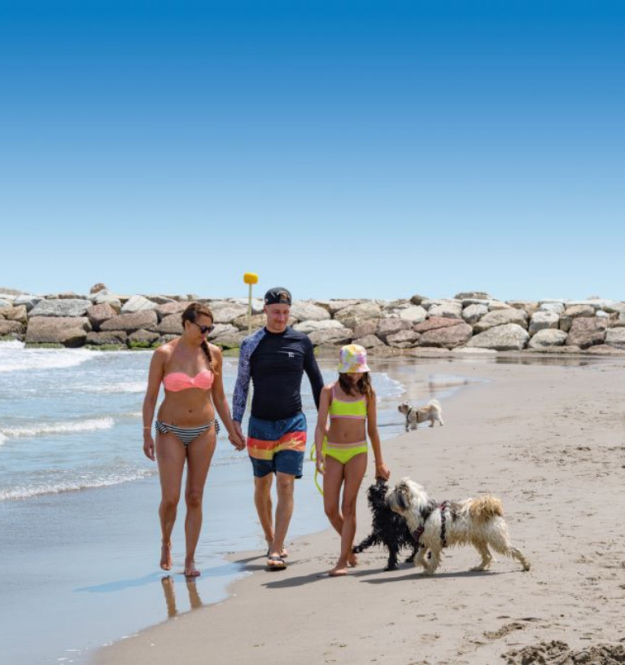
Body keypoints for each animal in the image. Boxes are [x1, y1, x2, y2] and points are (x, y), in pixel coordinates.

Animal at [388, 478, 528, 576]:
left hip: (497, 540)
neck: (421, 511)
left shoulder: (435, 544)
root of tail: (490, 509)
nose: (386, 494)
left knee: (515, 550)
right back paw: (479, 568)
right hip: (479, 540)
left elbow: (433, 558)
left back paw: (526, 565)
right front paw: (426, 566)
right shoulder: (426, 542)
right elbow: (418, 557)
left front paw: (429, 570)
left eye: (394, 491)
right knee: (488, 556)